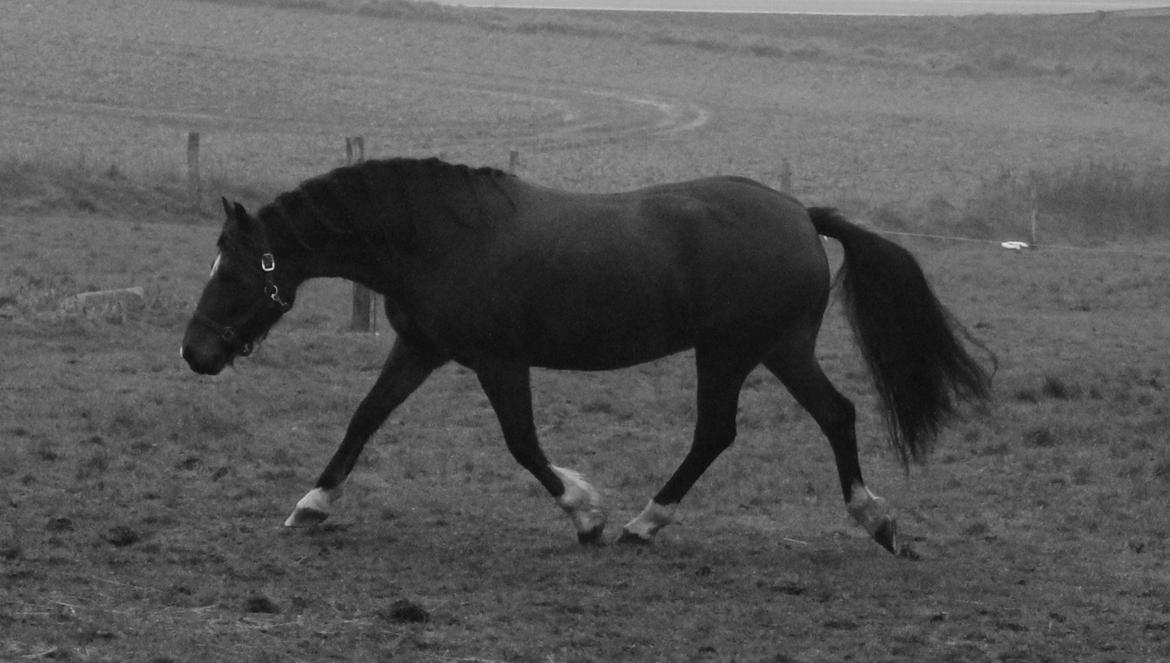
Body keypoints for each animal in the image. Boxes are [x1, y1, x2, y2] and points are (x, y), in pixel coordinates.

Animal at [180, 157, 992, 554]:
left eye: (234, 271)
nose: (194, 352)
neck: (440, 237)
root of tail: (801, 213)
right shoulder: (420, 348)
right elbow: (363, 419)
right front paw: (311, 505)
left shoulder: (499, 360)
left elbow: (522, 443)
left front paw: (587, 513)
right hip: (775, 349)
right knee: (833, 414)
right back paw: (875, 520)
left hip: (733, 351)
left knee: (723, 431)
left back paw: (644, 522)